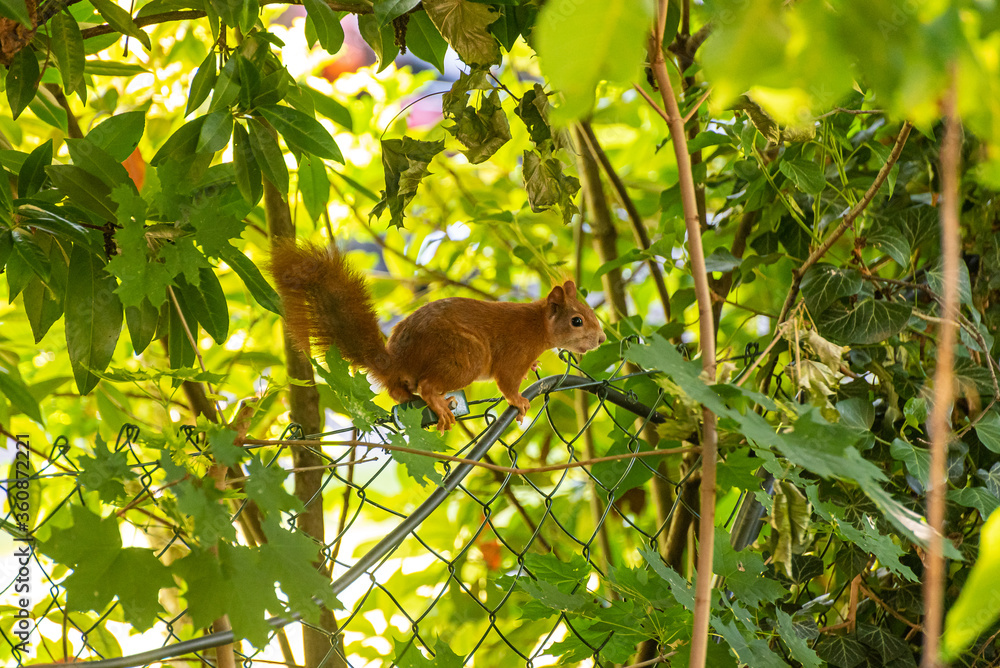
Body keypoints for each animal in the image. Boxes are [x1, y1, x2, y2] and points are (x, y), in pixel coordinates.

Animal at [269, 241, 607, 430]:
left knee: (400, 393)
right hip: (466, 355)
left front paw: (534, 368)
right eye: (577, 321)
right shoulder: (513, 351)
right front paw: (519, 401)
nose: (602, 339)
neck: (537, 326)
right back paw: (439, 404)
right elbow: (507, 381)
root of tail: (395, 360)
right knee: (428, 385)